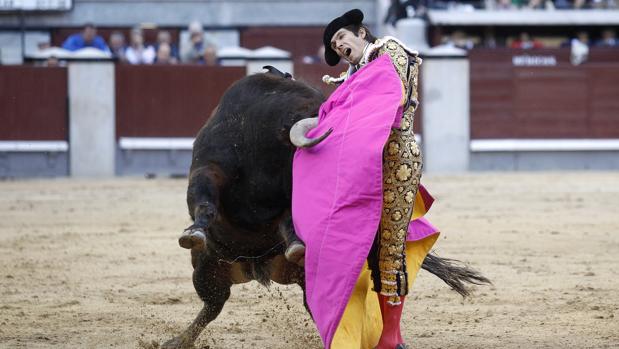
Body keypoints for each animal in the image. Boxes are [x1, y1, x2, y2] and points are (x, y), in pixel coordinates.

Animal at [162, 68, 492, 348]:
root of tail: (255, 269)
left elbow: (288, 221)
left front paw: (298, 245)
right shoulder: (208, 168)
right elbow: (205, 202)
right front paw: (193, 233)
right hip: (208, 267)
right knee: (213, 305)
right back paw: (177, 341)